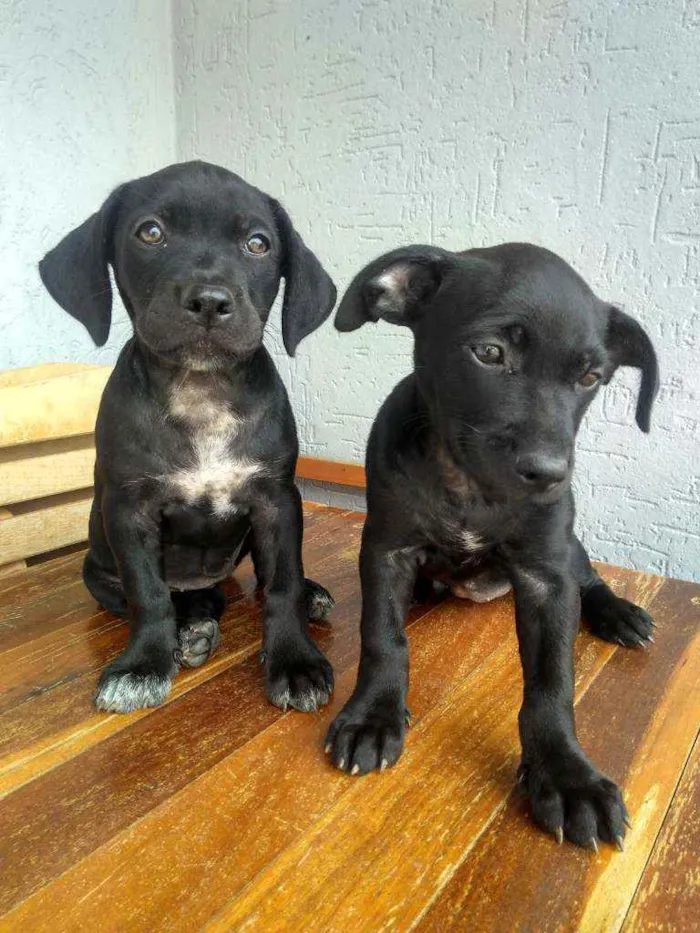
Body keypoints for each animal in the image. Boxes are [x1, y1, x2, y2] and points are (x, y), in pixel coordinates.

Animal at [39, 160, 340, 712]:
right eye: (150, 232)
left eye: (258, 243)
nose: (209, 301)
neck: (201, 391)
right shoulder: (130, 512)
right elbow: (148, 593)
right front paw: (142, 665)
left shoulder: (276, 502)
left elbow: (282, 581)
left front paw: (295, 660)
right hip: (98, 573)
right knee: (169, 596)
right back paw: (192, 625)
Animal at [326, 242, 660, 852]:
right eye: (488, 352)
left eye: (591, 376)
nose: (548, 473)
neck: (468, 487)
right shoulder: (386, 549)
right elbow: (382, 637)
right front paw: (373, 716)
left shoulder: (547, 574)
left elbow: (552, 683)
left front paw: (566, 776)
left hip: (570, 548)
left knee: (589, 578)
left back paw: (618, 613)